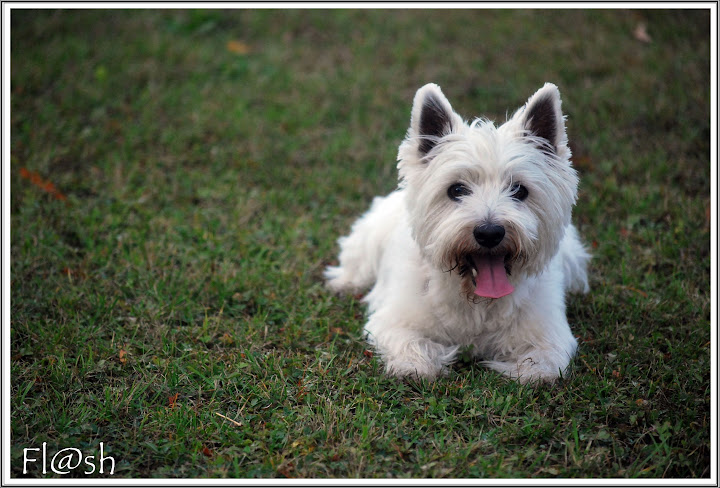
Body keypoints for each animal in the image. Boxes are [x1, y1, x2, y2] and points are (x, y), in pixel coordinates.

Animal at [326, 83, 592, 382]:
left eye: (519, 190)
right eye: (456, 189)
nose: (489, 233)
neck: (476, 301)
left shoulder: (549, 331)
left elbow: (544, 363)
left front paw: (526, 372)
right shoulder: (396, 319)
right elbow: (410, 344)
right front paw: (417, 366)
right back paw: (343, 284)